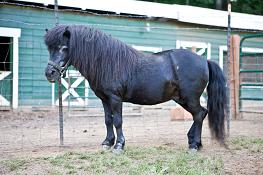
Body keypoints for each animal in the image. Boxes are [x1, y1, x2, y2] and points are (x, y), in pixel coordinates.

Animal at [44, 24, 228, 153]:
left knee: (199, 114)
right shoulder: (104, 99)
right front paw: (107, 143)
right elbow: (108, 120)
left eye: (64, 48)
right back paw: (194, 142)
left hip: (190, 98)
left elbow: (118, 121)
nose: (49, 73)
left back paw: (194, 145)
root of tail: (204, 60)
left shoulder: (115, 98)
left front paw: (119, 145)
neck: (107, 61)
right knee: (201, 114)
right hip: (181, 98)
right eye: (49, 48)